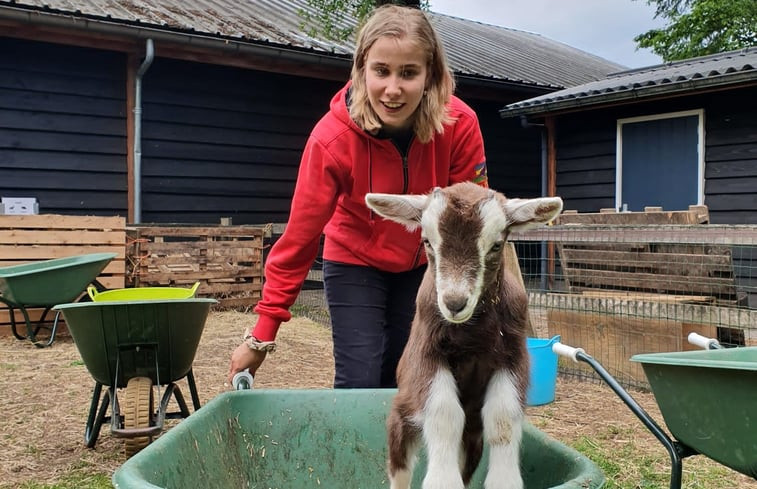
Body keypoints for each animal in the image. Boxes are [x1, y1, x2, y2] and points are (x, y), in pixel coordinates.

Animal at [364, 182, 564, 488]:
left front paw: (503, 481)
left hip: (472, 441)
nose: (454, 303)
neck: (473, 333)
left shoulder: (512, 357)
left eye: (497, 244)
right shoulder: (427, 353)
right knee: (400, 470)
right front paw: (442, 481)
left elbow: (503, 418)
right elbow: (444, 415)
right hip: (401, 418)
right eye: (427, 241)